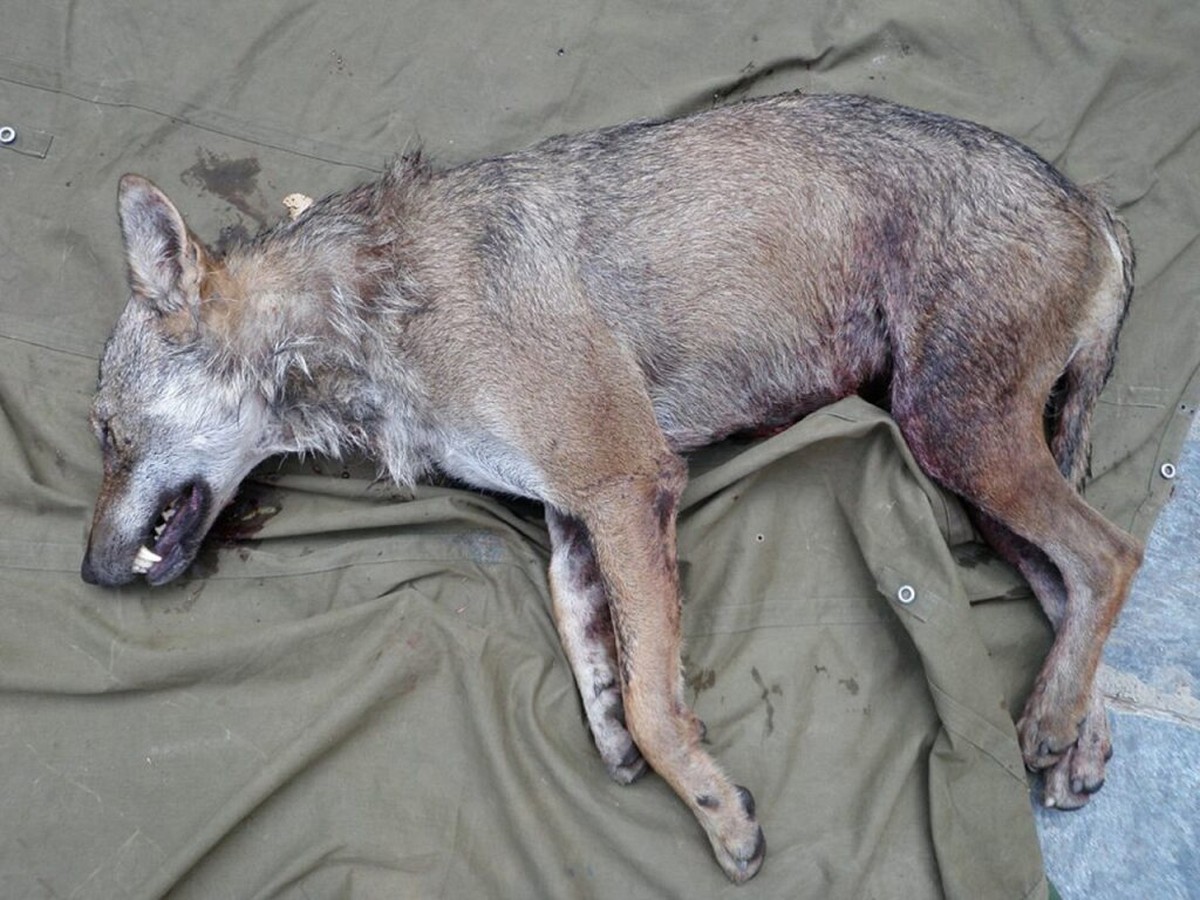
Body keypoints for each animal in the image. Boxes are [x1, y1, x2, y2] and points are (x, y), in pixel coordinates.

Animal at [81, 92, 1142, 883]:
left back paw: (1050, 721)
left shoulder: (627, 485)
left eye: (104, 431)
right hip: (966, 470)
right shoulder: (572, 520)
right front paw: (625, 745)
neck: (366, 310)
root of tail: (1093, 206)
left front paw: (720, 815)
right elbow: (605, 670)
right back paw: (1075, 735)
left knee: (1109, 554)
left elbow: (652, 701)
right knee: (1067, 585)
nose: (89, 572)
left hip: (952, 436)